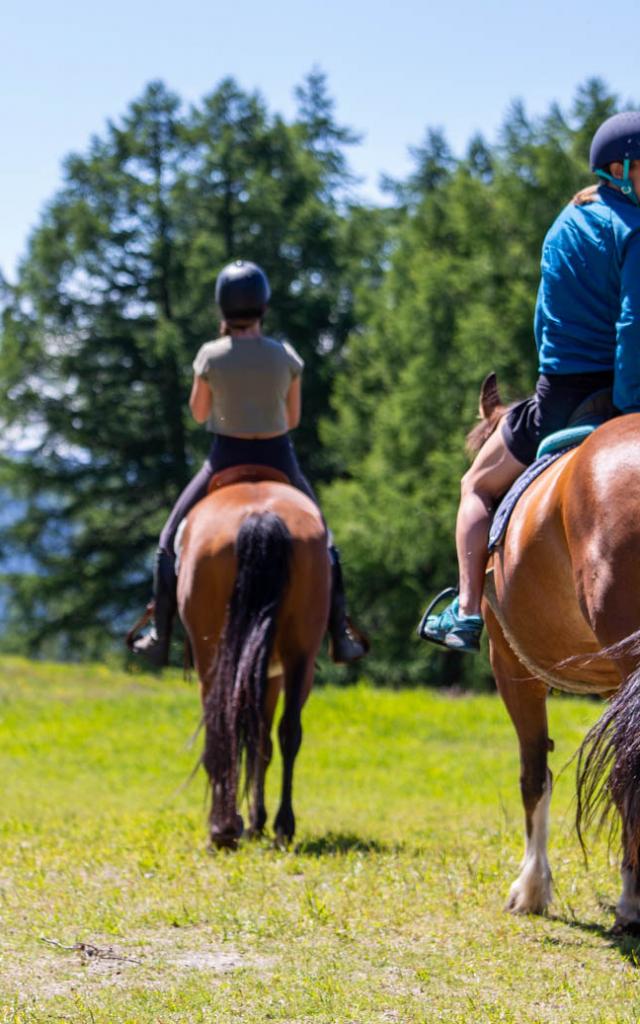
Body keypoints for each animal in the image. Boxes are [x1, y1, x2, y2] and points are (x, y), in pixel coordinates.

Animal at [175, 468, 329, 847]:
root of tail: (260, 516)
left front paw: (244, 821)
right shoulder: (271, 673)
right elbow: (263, 739)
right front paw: (257, 819)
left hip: (215, 657)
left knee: (224, 726)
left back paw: (226, 828)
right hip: (299, 656)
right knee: (288, 732)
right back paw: (281, 825)